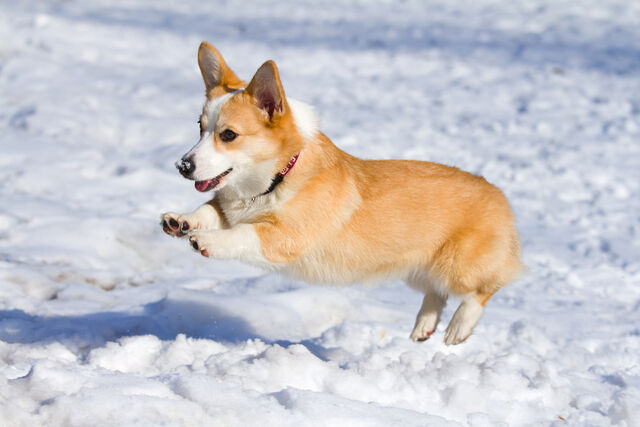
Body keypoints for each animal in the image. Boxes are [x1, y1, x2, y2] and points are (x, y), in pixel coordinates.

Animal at [161, 41, 524, 346]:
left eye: (229, 135)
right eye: (199, 127)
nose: (182, 166)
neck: (277, 177)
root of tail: (498, 194)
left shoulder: (285, 237)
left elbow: (242, 235)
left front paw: (207, 241)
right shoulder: (229, 207)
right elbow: (209, 211)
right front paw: (180, 221)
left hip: (457, 268)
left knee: (483, 289)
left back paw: (458, 328)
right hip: (417, 270)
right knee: (436, 294)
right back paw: (424, 326)